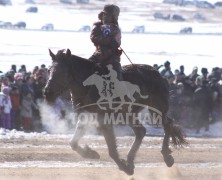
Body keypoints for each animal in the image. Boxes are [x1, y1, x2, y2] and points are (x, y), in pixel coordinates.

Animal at [43, 48, 187, 175]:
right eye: (49, 70)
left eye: (62, 71)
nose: (47, 92)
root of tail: (158, 75)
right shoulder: (85, 116)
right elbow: (73, 143)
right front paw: (91, 154)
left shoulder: (104, 120)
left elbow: (111, 148)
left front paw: (124, 167)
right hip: (130, 114)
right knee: (141, 131)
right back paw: (131, 160)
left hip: (157, 109)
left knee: (167, 125)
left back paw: (166, 157)